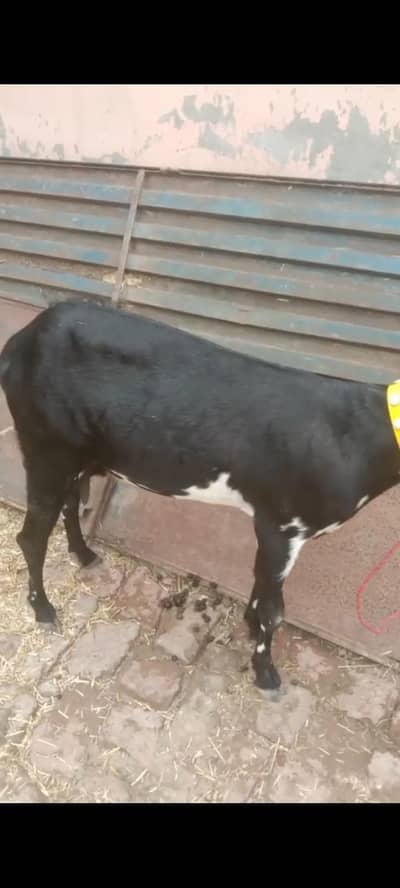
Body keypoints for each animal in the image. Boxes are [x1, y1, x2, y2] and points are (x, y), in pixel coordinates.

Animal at [0, 300, 399, 690]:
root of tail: (22, 339)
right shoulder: (283, 524)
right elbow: (274, 609)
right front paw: (266, 674)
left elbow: (259, 587)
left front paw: (250, 628)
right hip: (46, 447)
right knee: (32, 537)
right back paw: (44, 610)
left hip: (80, 455)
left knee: (70, 503)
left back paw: (85, 555)